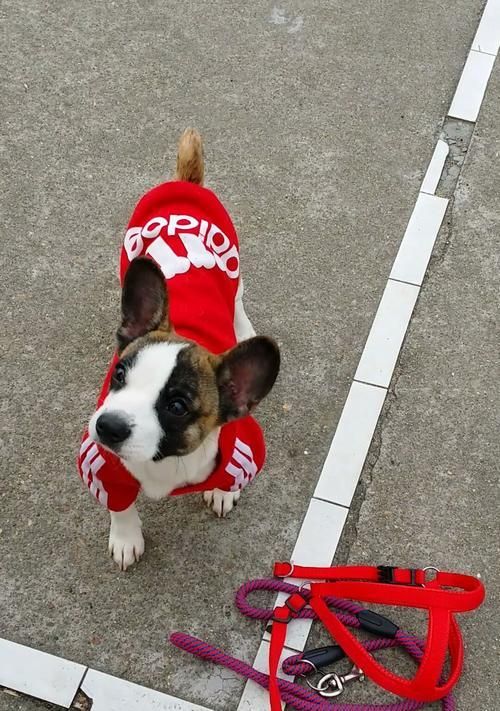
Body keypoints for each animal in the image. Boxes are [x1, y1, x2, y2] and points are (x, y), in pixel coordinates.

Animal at [78, 129, 280, 570]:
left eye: (177, 406)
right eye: (119, 375)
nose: (109, 425)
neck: (164, 461)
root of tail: (185, 183)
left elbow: (230, 478)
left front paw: (222, 491)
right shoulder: (103, 467)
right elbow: (120, 505)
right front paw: (126, 537)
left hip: (234, 266)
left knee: (237, 298)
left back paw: (242, 327)